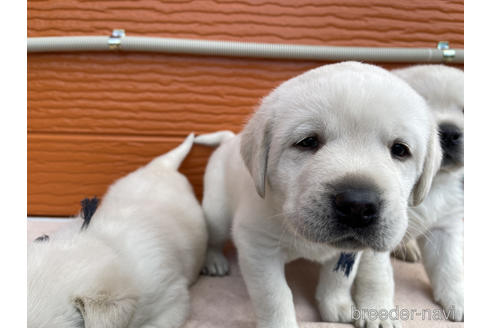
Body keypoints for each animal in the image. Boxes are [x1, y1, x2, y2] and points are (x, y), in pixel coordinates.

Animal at [194, 62, 440, 328]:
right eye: (308, 141)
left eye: (400, 149)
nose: (358, 205)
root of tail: (229, 141)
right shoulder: (257, 245)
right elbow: (274, 295)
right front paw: (281, 323)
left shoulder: (348, 251)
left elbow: (337, 279)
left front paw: (336, 306)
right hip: (217, 211)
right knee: (213, 237)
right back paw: (214, 261)